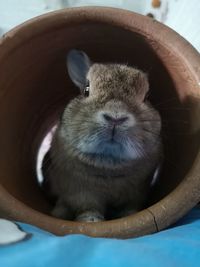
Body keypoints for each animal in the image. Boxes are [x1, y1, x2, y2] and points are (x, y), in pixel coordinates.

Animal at [42, 49, 162, 223]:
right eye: (86, 90)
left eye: (146, 97)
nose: (115, 118)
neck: (109, 162)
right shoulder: (81, 193)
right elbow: (88, 208)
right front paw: (91, 221)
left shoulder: (136, 194)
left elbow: (130, 208)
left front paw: (129, 216)